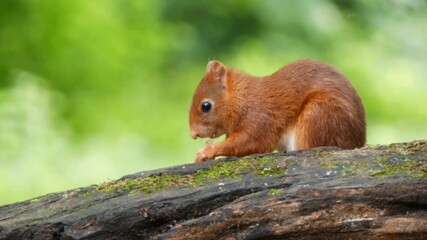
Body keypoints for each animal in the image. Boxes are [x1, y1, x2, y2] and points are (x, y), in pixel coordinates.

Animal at [191, 59, 368, 163]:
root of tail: (357, 142)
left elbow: (249, 142)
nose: (193, 134)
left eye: (206, 106)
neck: (241, 98)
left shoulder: (259, 120)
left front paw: (206, 151)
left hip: (319, 114)